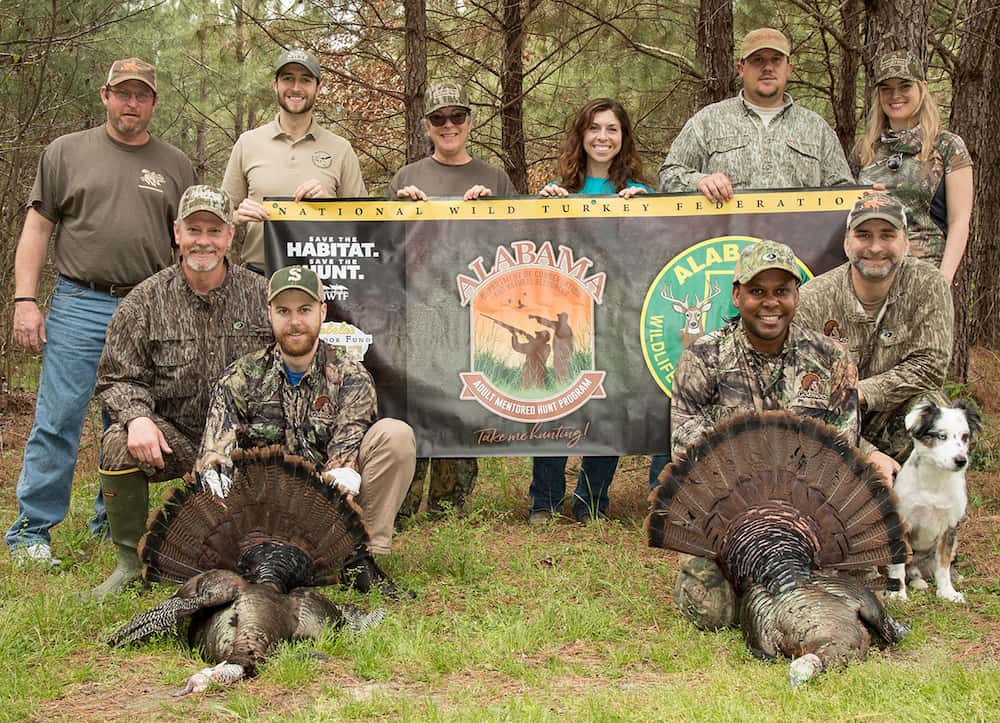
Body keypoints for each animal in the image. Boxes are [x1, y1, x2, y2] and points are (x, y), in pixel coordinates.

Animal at [888, 398, 980, 604]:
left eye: (965, 437)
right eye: (941, 436)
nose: (961, 461)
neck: (935, 482)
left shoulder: (949, 527)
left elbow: (943, 566)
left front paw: (947, 592)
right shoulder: (903, 521)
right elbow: (898, 565)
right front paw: (897, 594)